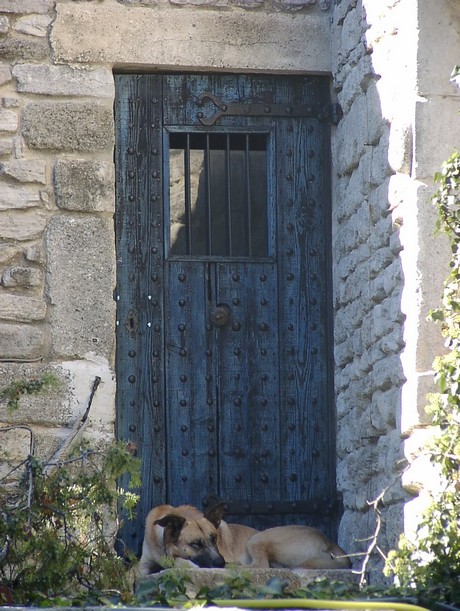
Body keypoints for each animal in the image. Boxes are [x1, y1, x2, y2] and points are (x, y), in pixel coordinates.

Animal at [138, 502, 350, 580]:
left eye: (214, 538)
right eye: (196, 544)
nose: (221, 562)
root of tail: (330, 542)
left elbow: (180, 562)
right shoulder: (144, 563)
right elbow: (136, 573)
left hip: (258, 538)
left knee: (260, 565)